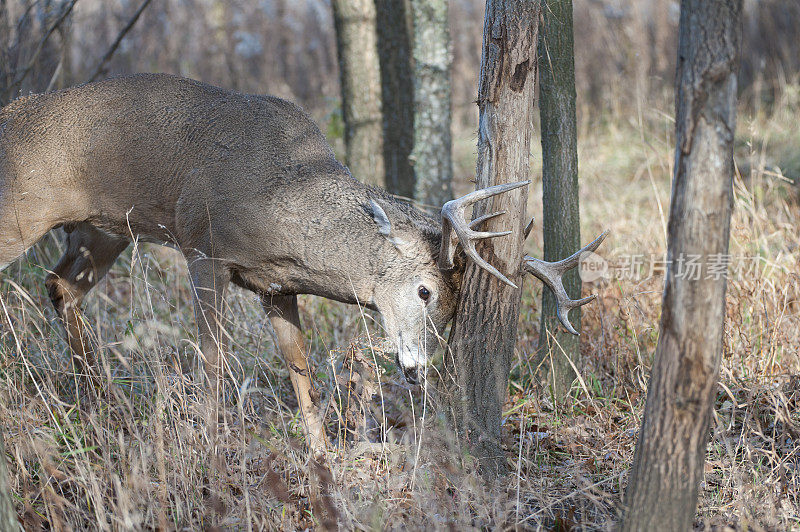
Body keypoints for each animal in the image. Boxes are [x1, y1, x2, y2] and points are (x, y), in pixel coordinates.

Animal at [0, 74, 604, 448]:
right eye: (425, 291)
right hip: (22, 216)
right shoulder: (203, 246)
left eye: (455, 310)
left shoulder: (276, 286)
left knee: (60, 286)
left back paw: (98, 405)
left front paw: (322, 456)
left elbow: (301, 370)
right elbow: (213, 359)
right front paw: (210, 443)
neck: (281, 203)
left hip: (102, 230)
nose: (416, 369)